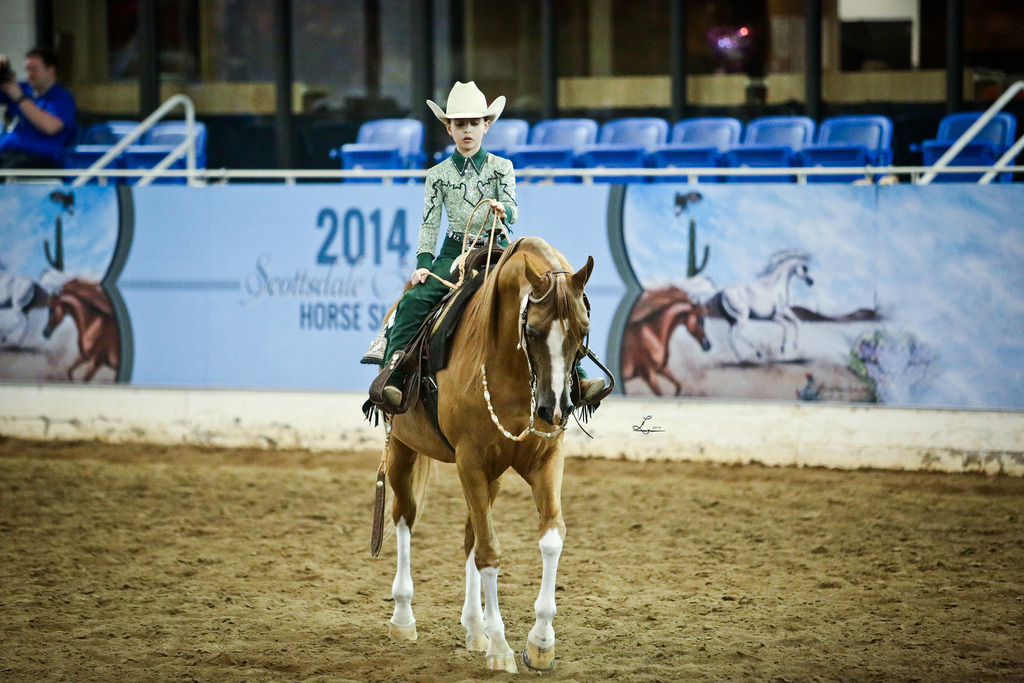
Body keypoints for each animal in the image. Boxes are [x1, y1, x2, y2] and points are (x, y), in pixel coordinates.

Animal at [374, 236, 595, 673]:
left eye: (584, 330)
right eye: (532, 329)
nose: (554, 408)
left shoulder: (545, 460)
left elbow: (550, 538)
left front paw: (540, 642)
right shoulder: (471, 462)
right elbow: (490, 553)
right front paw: (501, 648)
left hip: (490, 476)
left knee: (469, 538)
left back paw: (475, 627)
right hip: (404, 451)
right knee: (404, 518)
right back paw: (404, 617)